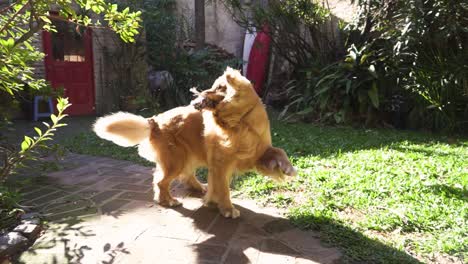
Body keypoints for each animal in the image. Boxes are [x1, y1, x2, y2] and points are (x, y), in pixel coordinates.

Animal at [93, 67, 294, 218]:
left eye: (220, 87)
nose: (199, 95)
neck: (241, 123)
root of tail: (154, 120)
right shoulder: (221, 164)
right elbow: (224, 189)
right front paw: (227, 208)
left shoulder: (259, 152)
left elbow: (279, 150)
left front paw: (288, 168)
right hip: (178, 159)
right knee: (162, 181)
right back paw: (169, 200)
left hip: (189, 155)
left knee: (183, 176)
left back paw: (199, 188)